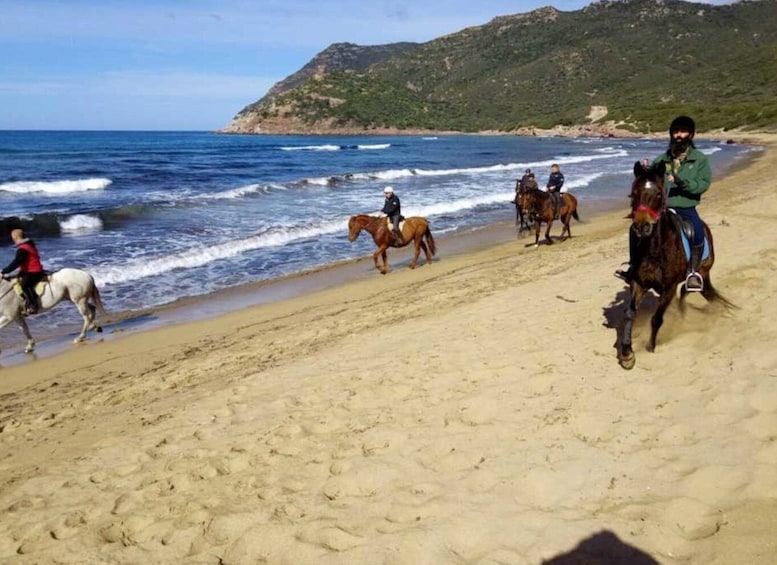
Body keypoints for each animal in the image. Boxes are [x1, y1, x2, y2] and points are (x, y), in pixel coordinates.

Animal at [616, 160, 732, 370]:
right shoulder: (639, 283)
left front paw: (651, 346)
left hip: (701, 271)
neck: (654, 249)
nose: (642, 226)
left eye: (658, 194)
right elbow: (630, 313)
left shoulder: (669, 288)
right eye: (633, 193)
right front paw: (627, 353)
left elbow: (657, 318)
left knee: (692, 290)